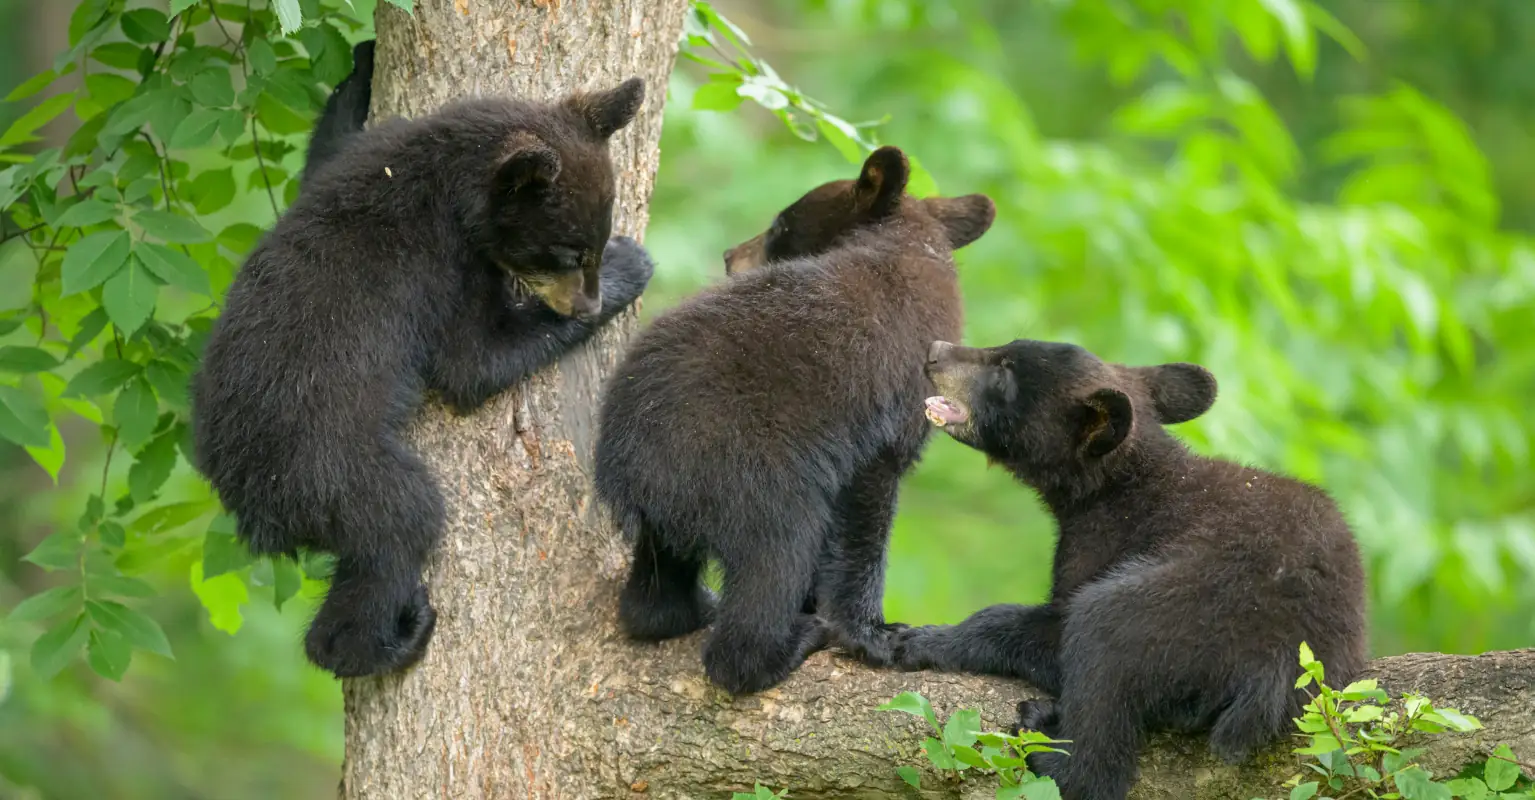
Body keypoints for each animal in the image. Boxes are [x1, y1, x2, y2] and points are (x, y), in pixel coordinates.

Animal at [190, 76, 654, 678]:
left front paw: (358, 70)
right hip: (331, 469)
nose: (586, 304)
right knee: (402, 523)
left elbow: (324, 153)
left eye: (589, 246)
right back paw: (387, 640)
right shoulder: (441, 265)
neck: (444, 175)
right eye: (569, 252)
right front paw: (632, 267)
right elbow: (470, 361)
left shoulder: (361, 156)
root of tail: (247, 502)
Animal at [593, 146, 997, 694]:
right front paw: (874, 633)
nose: (729, 256)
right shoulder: (882, 414)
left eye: (781, 224)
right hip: (750, 472)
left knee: (658, 585)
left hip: (674, 505)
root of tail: (626, 465)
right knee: (778, 554)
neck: (911, 247)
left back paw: (682, 610)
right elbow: (865, 517)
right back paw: (786, 643)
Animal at [891, 338, 1369, 800]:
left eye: (1005, 370)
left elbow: (1051, 628)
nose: (935, 351)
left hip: (1188, 611)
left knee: (1102, 651)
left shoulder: (1104, 541)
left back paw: (1048, 743)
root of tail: (1281, 662)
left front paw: (922, 638)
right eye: (1004, 349)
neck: (1117, 485)